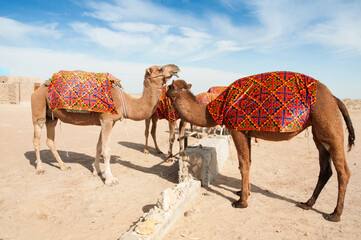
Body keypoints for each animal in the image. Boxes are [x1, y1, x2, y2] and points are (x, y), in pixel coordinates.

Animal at [30, 64, 179, 187]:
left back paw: (63, 166)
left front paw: (97, 170)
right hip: (39, 111)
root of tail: (36, 90)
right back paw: (40, 169)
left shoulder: (107, 121)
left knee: (50, 141)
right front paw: (110, 179)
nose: (176, 68)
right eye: (160, 69)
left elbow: (99, 147)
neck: (125, 102)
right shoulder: (107, 119)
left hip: (51, 117)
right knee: (36, 140)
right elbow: (106, 150)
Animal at [167, 72, 354, 221]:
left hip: (330, 126)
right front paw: (243, 192)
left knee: (343, 171)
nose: (165, 90)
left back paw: (335, 214)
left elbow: (243, 164)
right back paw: (307, 203)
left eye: (169, 86)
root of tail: (335, 98)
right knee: (325, 169)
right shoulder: (247, 132)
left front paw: (241, 202)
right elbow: (248, 162)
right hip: (319, 134)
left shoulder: (237, 130)